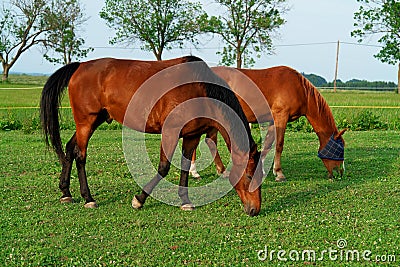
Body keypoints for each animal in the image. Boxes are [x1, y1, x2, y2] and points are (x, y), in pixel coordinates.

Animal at [39, 57, 262, 218]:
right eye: (249, 176)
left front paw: (185, 201)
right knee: (80, 155)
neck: (199, 89)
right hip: (85, 123)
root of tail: (80, 66)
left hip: (91, 122)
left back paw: (66, 193)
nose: (254, 210)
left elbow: (184, 166)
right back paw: (88, 198)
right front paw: (139, 199)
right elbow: (163, 168)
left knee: (69, 149)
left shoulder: (191, 136)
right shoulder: (170, 132)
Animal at [189, 65, 346, 181]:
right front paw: (279, 173)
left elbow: (268, 144)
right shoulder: (281, 116)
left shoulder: (272, 120)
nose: (340, 172)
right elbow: (279, 144)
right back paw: (207, 171)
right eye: (339, 149)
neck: (298, 88)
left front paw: (262, 169)